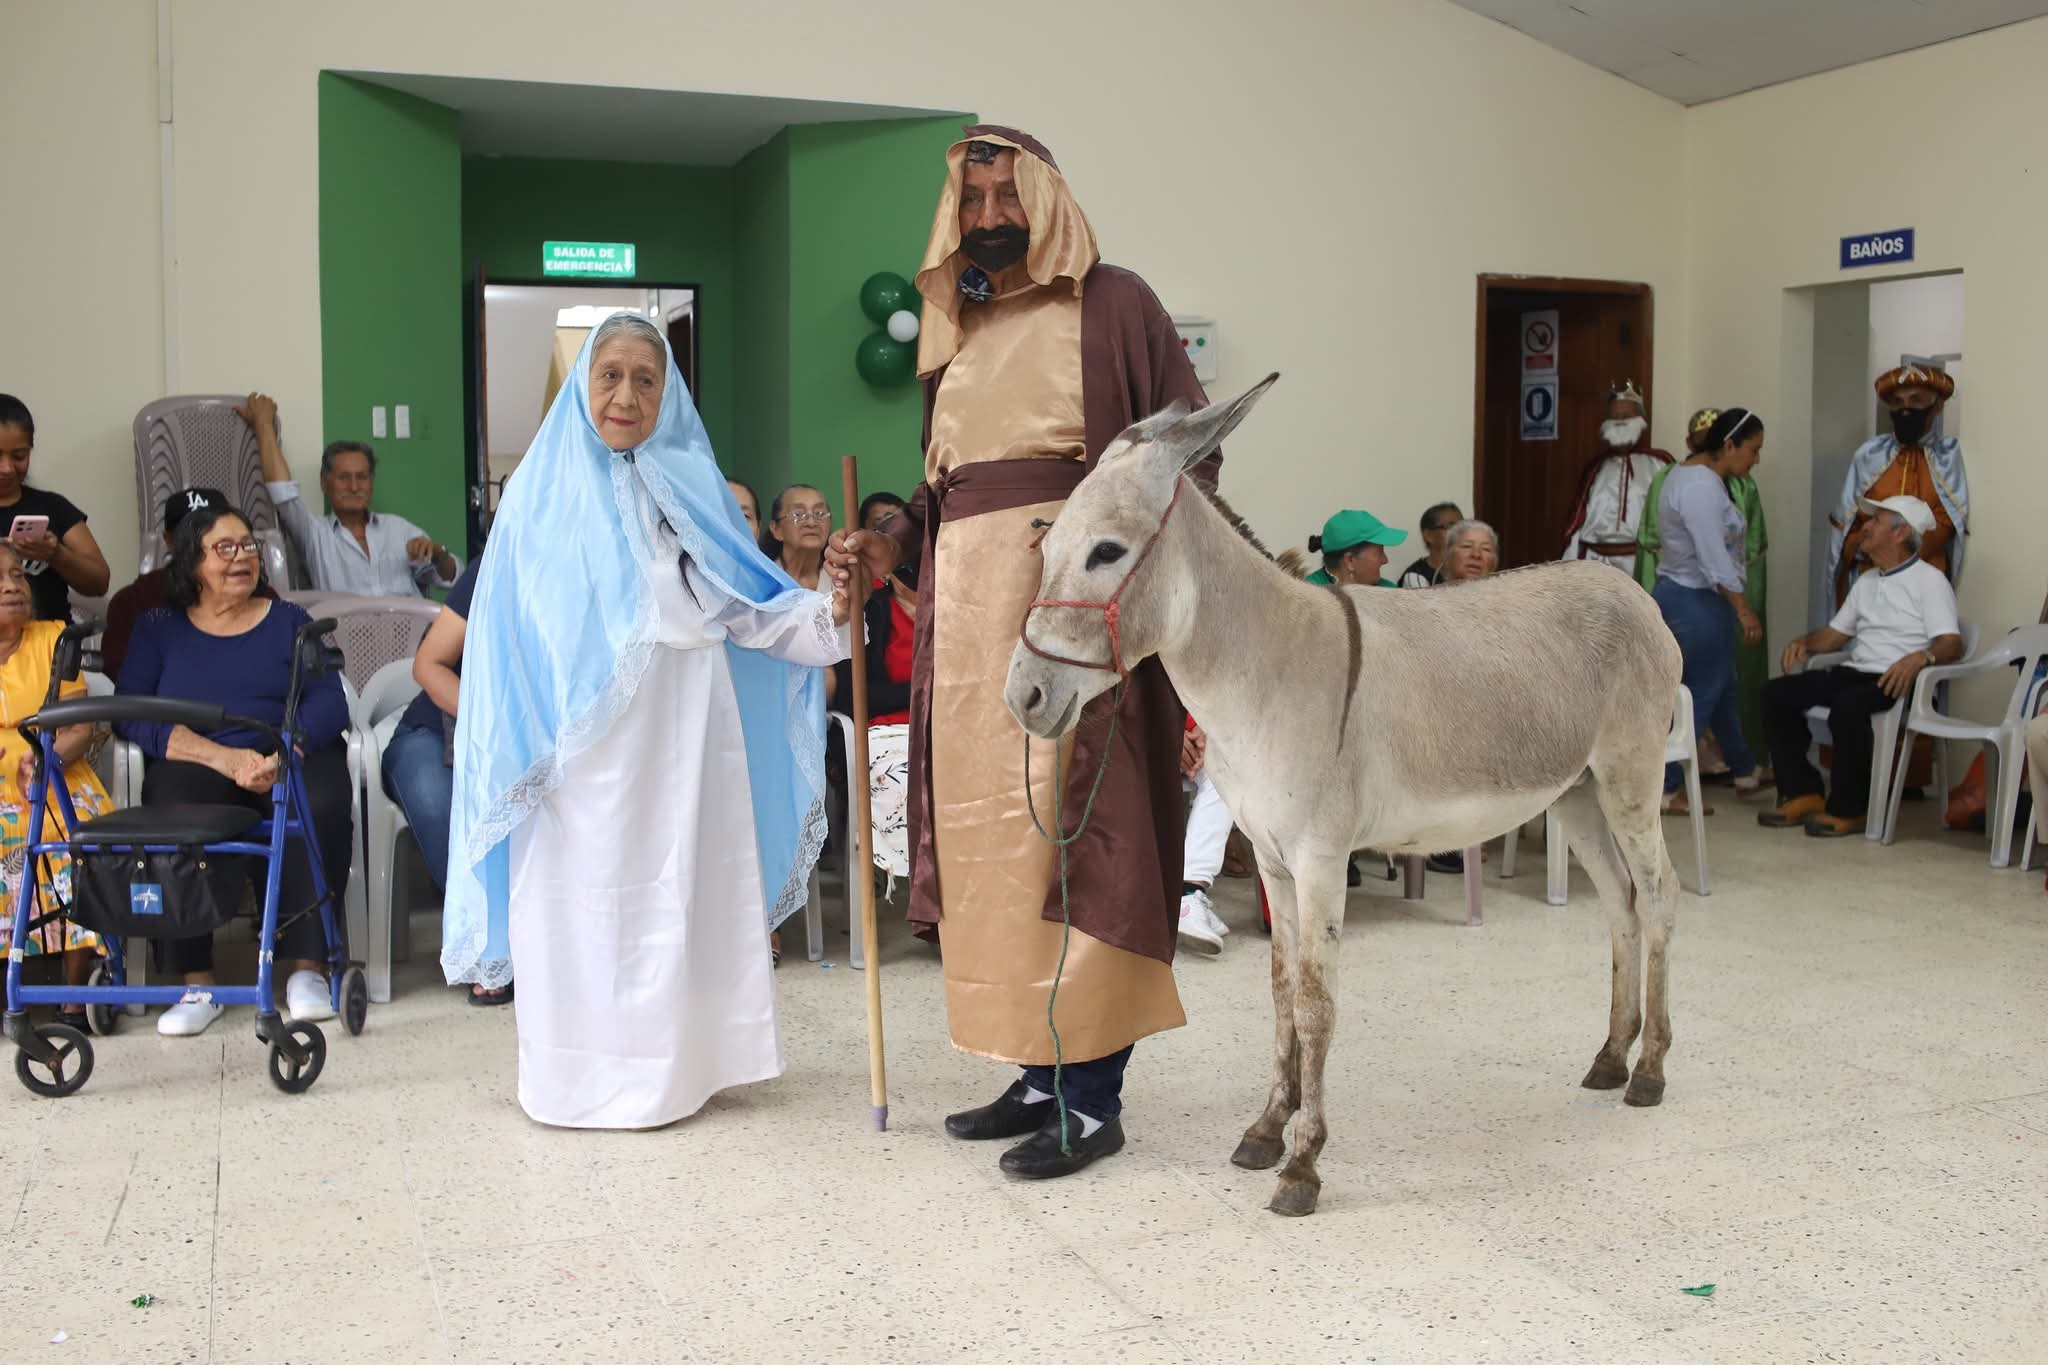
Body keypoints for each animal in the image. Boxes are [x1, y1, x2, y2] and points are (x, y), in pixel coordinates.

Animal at [1003, 375, 1682, 1217]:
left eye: (1106, 552)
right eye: (1047, 545)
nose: (1024, 697)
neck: (1266, 667)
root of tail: (1627, 586)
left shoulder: (1320, 860)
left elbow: (1316, 1002)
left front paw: (1303, 1163)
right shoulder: (1271, 860)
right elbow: (1279, 990)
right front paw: (1267, 1127)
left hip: (1630, 778)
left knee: (1659, 896)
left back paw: (1650, 1070)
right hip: (1576, 795)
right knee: (1621, 904)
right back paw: (1612, 1055)